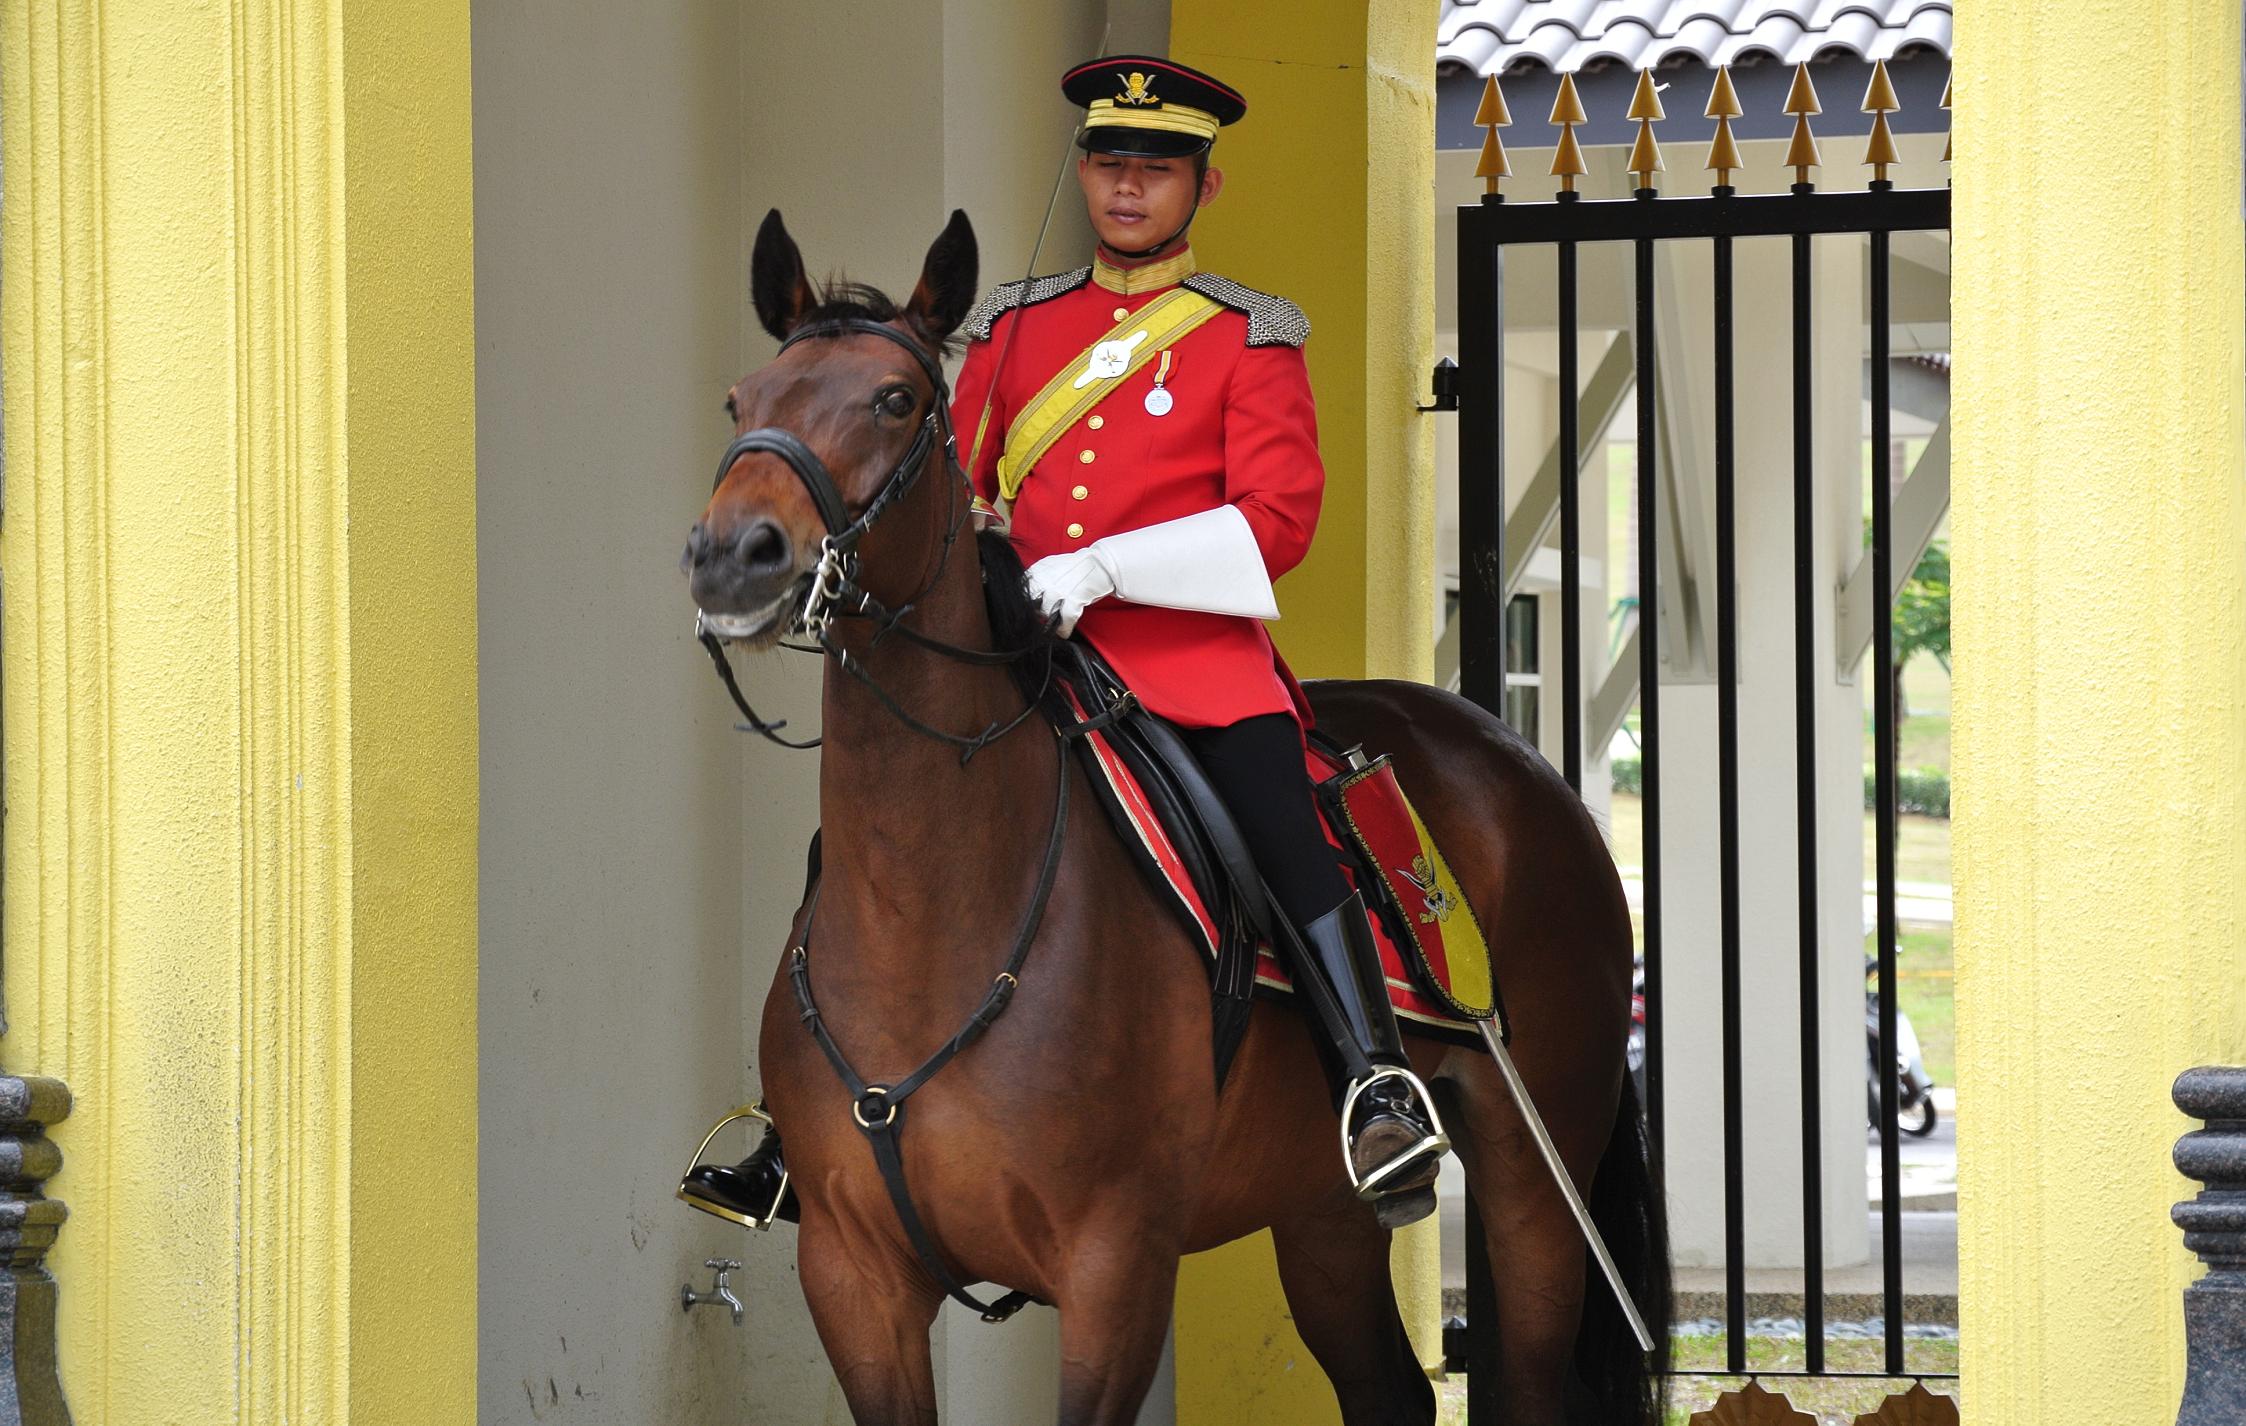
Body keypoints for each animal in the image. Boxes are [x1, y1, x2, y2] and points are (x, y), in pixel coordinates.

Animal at [682, 212, 1671, 1426]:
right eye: (742, 398)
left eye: (895, 400)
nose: (733, 556)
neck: (932, 908)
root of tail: (1518, 759)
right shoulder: (852, 1274)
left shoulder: (1114, 1265)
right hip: (1321, 1206)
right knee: (1389, 1388)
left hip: (1536, 1177)